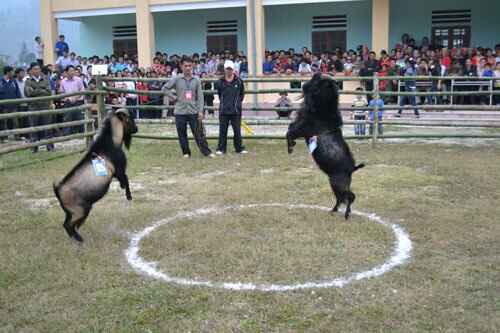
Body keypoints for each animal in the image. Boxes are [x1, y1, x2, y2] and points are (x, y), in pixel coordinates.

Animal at [53, 109, 137, 241]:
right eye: (130, 119)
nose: (136, 129)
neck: (111, 141)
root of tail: (58, 191)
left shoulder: (115, 174)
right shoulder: (119, 170)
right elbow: (126, 179)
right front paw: (128, 195)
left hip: (71, 212)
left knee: (68, 224)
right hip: (79, 210)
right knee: (68, 225)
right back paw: (80, 240)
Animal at [288, 73, 366, 218]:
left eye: (319, 81)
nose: (315, 74)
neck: (323, 111)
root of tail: (352, 169)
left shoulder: (303, 129)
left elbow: (289, 132)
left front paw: (290, 147)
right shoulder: (300, 127)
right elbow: (290, 129)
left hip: (337, 183)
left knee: (350, 197)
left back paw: (346, 214)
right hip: (336, 184)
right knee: (342, 198)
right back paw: (334, 210)